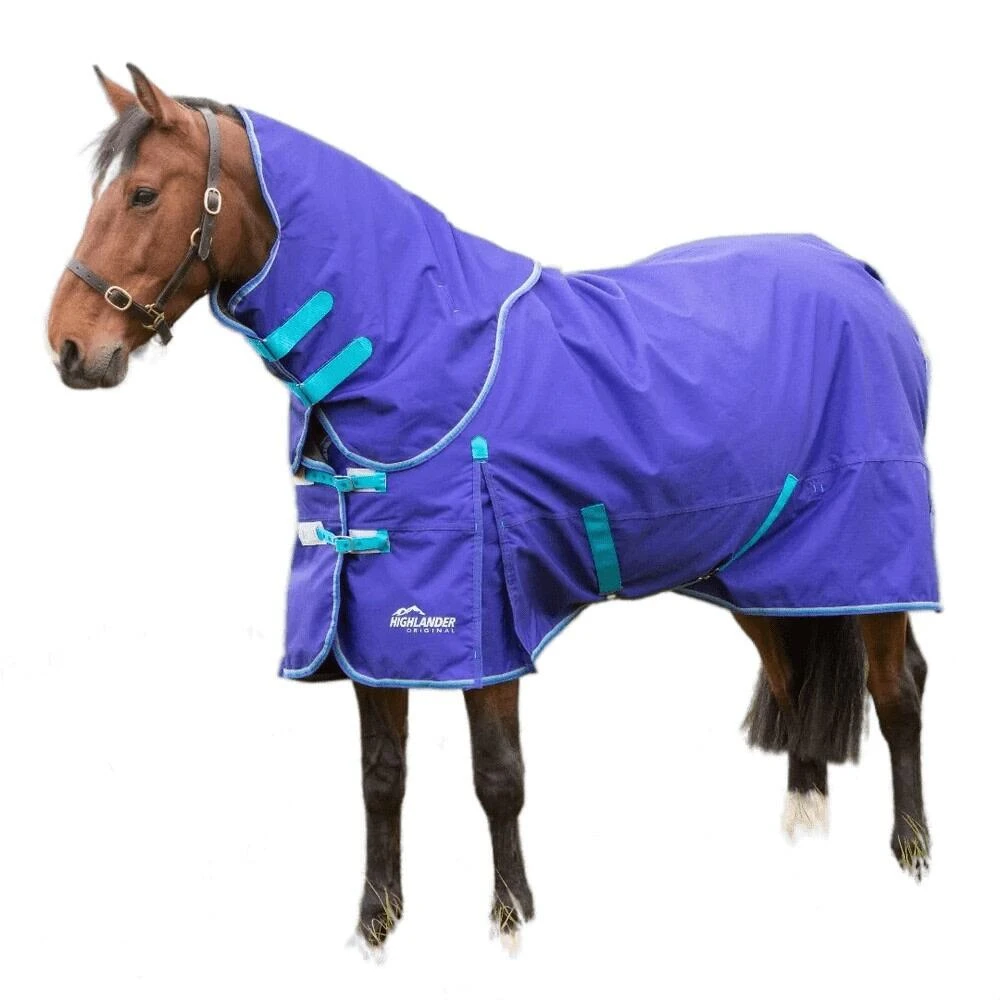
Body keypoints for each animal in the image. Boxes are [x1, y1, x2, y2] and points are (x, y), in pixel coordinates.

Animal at [47, 65, 936, 950]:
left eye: (143, 194)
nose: (67, 345)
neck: (418, 348)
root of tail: (859, 275)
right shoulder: (368, 619)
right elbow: (381, 777)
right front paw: (376, 923)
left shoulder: (483, 614)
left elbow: (498, 775)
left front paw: (511, 918)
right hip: (760, 569)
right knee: (793, 678)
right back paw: (805, 833)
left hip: (868, 554)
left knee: (898, 690)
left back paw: (912, 851)